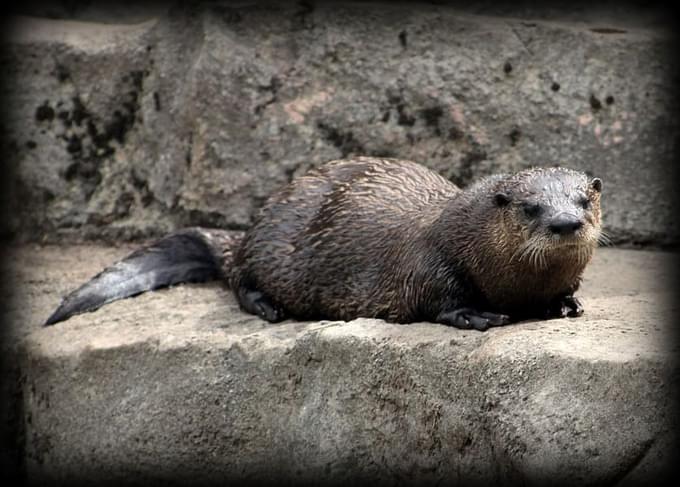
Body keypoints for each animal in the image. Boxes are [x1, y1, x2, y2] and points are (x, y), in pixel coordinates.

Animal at [45, 157, 604, 332]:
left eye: (584, 199)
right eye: (530, 207)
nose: (565, 223)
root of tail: (250, 228)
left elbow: (563, 292)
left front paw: (564, 303)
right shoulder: (427, 263)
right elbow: (436, 298)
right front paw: (477, 315)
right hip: (268, 247)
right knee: (239, 279)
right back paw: (268, 307)